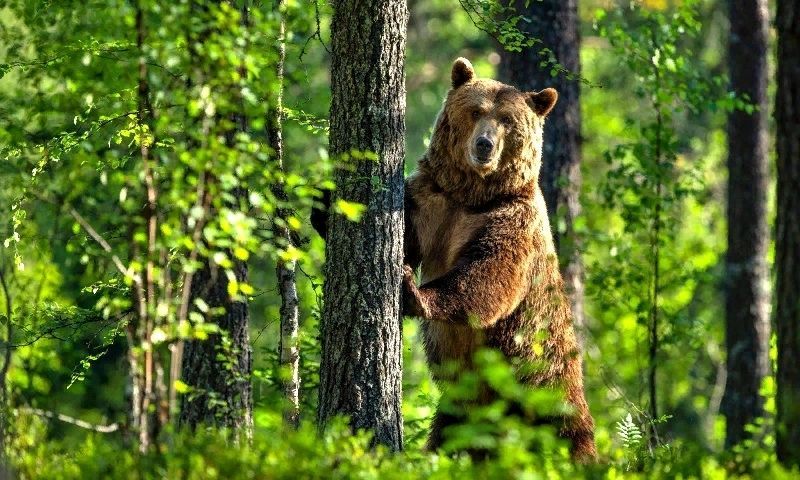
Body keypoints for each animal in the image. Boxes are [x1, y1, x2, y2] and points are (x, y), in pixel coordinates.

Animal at [404, 57, 596, 462]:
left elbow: (490, 275)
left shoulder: (513, 219)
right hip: (461, 411)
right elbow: (407, 230)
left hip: (543, 385)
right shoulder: (433, 200)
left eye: (508, 120)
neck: (473, 194)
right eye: (476, 110)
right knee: (447, 438)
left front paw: (415, 292)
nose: (484, 144)